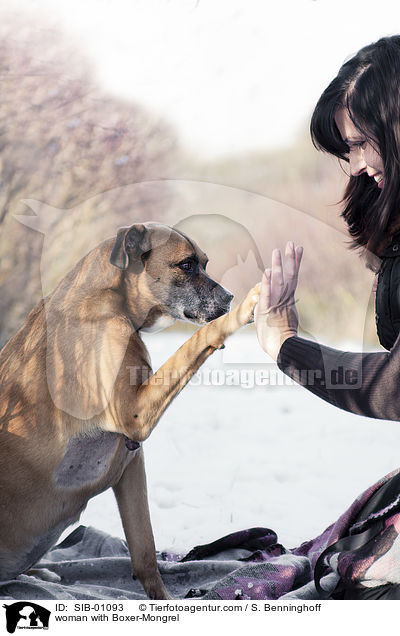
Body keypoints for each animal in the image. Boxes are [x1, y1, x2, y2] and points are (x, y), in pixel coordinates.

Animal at [0, 221, 260, 600]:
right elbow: (193, 343)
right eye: (186, 265)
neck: (112, 299)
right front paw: (241, 314)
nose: (228, 298)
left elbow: (145, 551)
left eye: (205, 263)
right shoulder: (135, 414)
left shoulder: (131, 464)